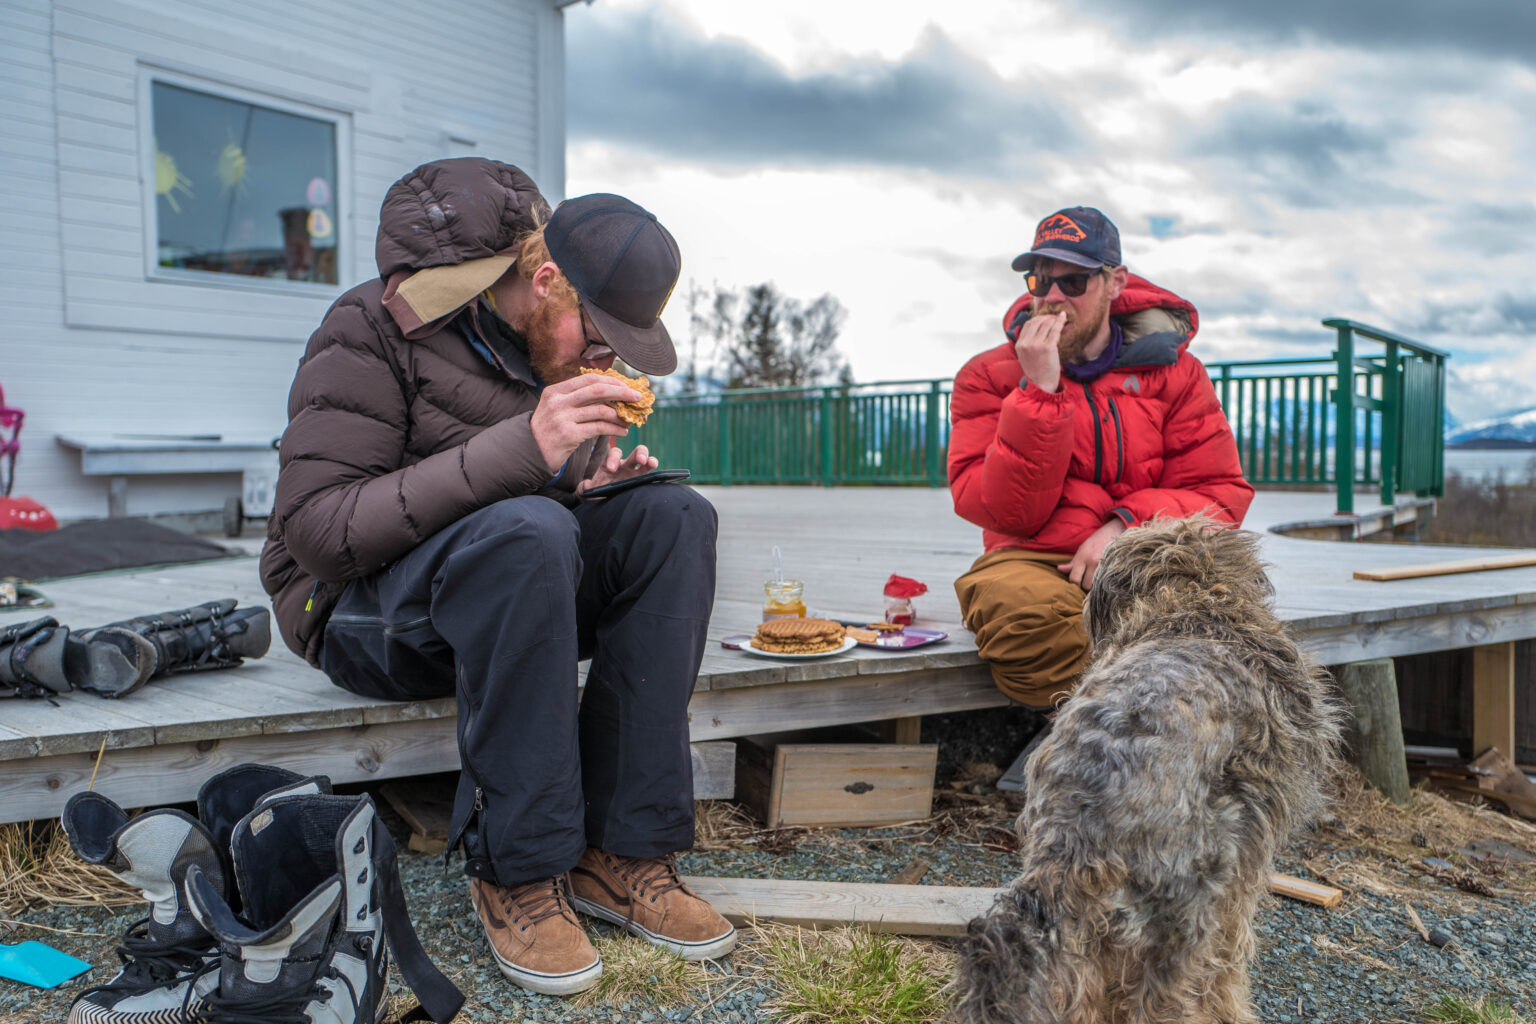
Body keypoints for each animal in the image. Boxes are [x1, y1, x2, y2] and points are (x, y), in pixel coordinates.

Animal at [952, 521, 1339, 1024]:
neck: (1196, 606)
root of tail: (1084, 822)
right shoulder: (1248, 861)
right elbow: (1231, 953)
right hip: (1187, 909)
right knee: (1167, 996)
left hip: (1088, 916)